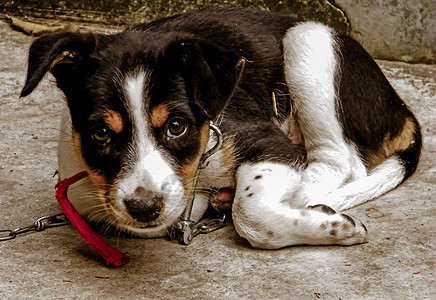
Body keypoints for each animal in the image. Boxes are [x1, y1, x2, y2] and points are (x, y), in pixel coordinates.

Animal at [21, 8, 422, 248]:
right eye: (101, 133)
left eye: (177, 126)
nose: (144, 207)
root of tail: (398, 106)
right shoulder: (79, 181)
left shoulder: (266, 140)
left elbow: (252, 213)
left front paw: (333, 227)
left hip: (308, 40)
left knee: (342, 162)